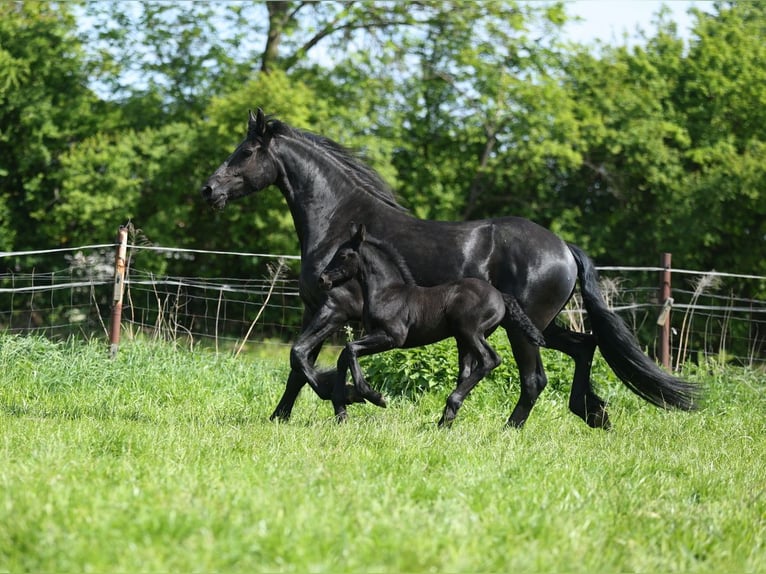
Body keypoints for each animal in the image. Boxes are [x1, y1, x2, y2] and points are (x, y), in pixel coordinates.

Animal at [320, 225, 548, 428]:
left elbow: (350, 349)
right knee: (468, 371)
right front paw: (342, 411)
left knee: (490, 359)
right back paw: (445, 421)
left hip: (470, 332)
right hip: (464, 340)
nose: (323, 278)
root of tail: (501, 295)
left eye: (342, 255)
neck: (387, 293)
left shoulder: (392, 337)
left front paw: (374, 396)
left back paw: (449, 409)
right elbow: (344, 356)